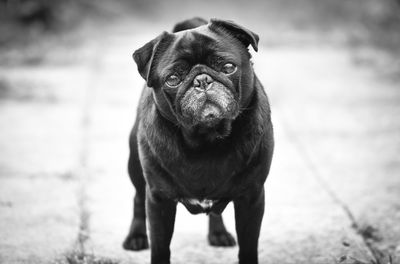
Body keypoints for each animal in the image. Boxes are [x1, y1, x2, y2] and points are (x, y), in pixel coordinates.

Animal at [123, 17, 274, 262]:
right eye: (173, 79)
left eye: (228, 67)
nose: (202, 80)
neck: (207, 139)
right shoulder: (159, 199)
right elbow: (160, 248)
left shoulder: (251, 197)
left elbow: (249, 246)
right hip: (135, 166)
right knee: (137, 198)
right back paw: (136, 237)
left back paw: (218, 233)